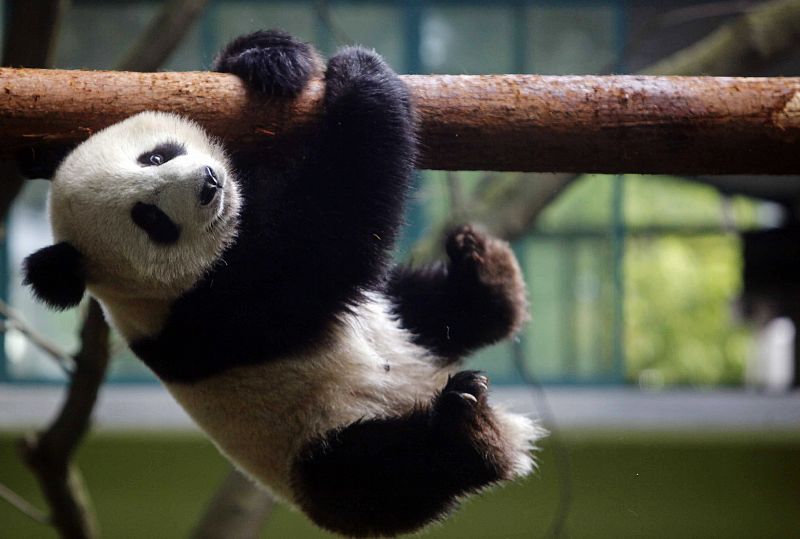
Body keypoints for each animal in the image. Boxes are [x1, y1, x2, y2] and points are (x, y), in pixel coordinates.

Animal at [21, 31, 542, 538]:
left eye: (155, 156)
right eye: (150, 219)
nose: (209, 183)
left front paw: (269, 59)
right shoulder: (219, 309)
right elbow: (327, 231)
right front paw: (363, 79)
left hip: (394, 325)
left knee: (421, 309)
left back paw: (488, 277)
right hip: (323, 449)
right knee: (389, 468)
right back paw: (472, 430)